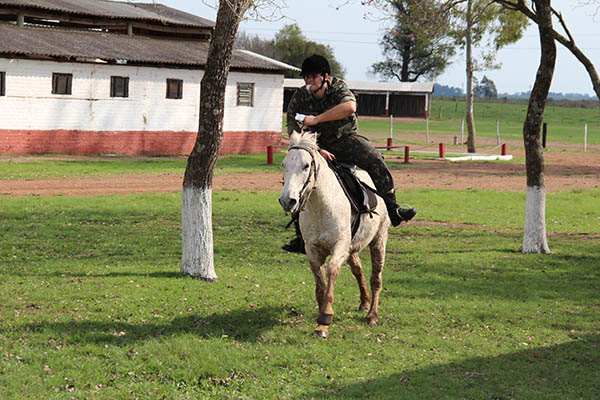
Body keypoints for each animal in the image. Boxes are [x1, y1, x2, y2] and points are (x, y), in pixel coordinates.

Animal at [276, 132, 390, 338]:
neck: (321, 206)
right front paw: (322, 312)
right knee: (358, 270)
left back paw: (372, 315)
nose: (287, 200)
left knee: (376, 278)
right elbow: (320, 284)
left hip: (379, 241)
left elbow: (331, 272)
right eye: (284, 164)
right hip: (353, 248)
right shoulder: (313, 251)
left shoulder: (339, 247)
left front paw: (324, 320)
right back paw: (364, 302)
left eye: (306, 165)